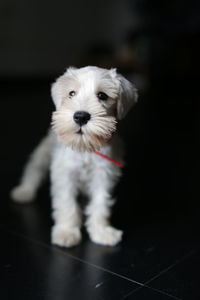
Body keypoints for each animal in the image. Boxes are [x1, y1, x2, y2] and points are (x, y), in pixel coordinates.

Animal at [10, 67, 138, 247]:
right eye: (71, 93)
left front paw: (101, 231)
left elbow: (101, 203)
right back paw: (25, 190)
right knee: (34, 167)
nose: (81, 116)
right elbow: (67, 203)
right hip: (44, 151)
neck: (85, 146)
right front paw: (67, 232)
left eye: (102, 95)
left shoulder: (103, 175)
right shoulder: (65, 174)